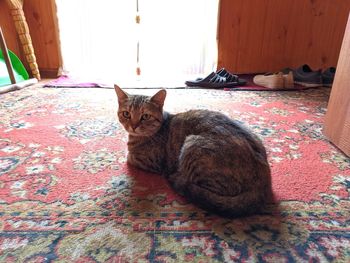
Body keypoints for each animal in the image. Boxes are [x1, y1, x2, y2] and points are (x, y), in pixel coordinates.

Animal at [115, 85, 274, 218]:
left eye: (145, 116)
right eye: (126, 114)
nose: (133, 126)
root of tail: (263, 183)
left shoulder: (149, 161)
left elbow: (129, 156)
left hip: (194, 147)